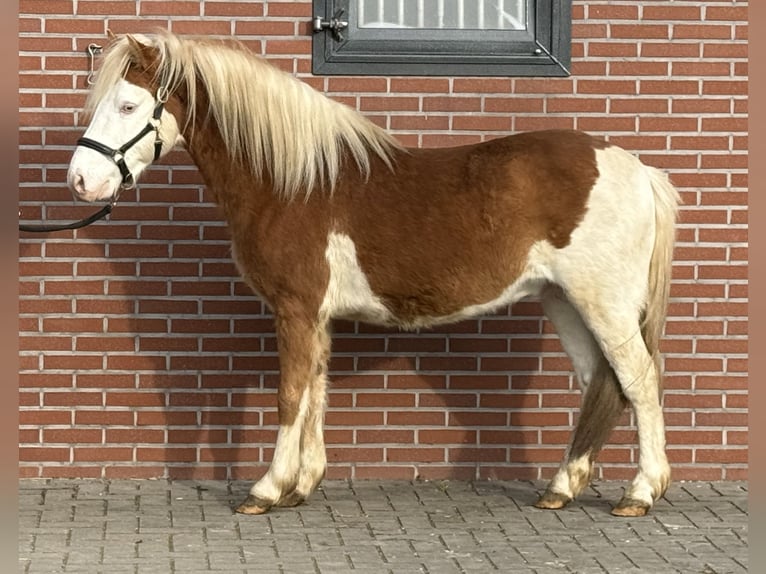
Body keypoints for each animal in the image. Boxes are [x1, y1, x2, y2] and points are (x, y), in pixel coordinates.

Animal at [66, 31, 680, 517]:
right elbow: (315, 391)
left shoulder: (295, 308)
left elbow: (291, 394)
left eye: (127, 106)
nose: (80, 180)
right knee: (599, 382)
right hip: (564, 301)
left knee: (639, 380)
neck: (293, 182)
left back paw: (640, 493)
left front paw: (265, 490)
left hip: (604, 302)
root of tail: (636, 168)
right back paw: (562, 487)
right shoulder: (315, 316)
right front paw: (301, 487)